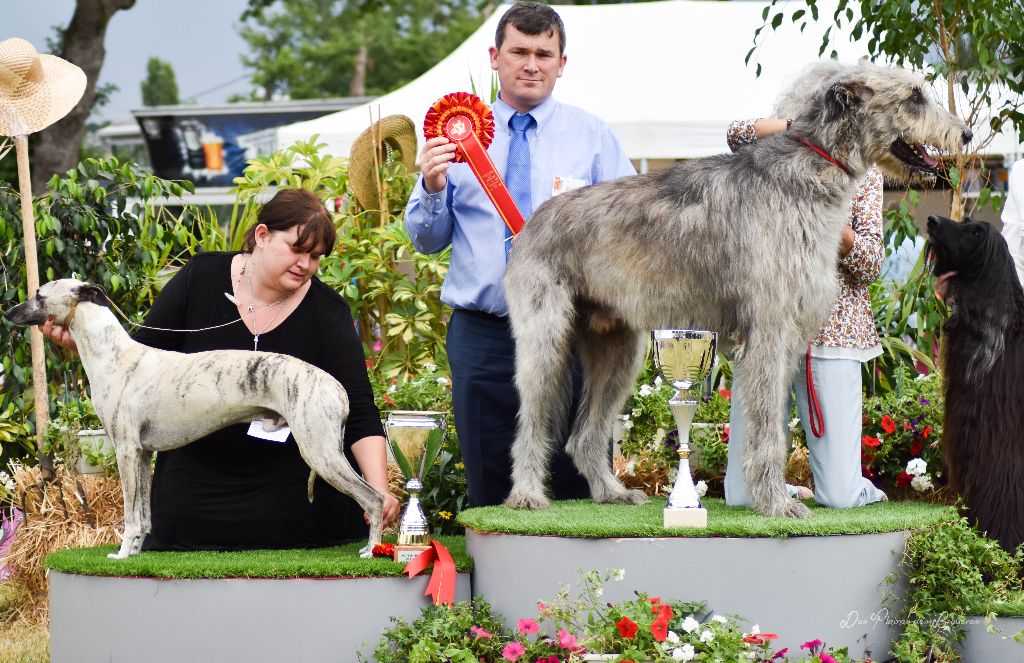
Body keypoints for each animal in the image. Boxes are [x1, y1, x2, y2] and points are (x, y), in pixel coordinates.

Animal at [504, 61, 971, 517]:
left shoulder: (786, 334)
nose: (965, 134)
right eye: (914, 96)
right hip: (545, 340)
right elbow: (768, 426)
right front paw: (777, 502)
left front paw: (773, 496)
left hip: (618, 347)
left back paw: (611, 492)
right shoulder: (767, 330)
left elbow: (773, 422)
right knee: (532, 421)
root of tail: (531, 222)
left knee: (583, 436)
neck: (810, 168)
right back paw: (526, 495)